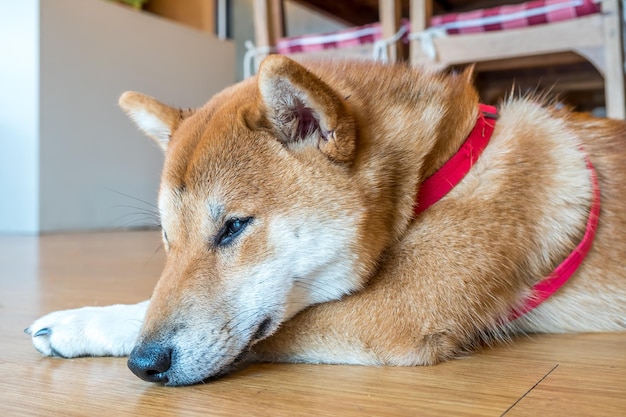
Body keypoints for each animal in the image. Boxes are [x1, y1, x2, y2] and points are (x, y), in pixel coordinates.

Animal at [25, 54, 624, 384]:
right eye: (168, 239)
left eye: (233, 227)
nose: (144, 363)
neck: (441, 165)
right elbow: (149, 304)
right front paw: (80, 322)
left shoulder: (396, 312)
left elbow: (271, 332)